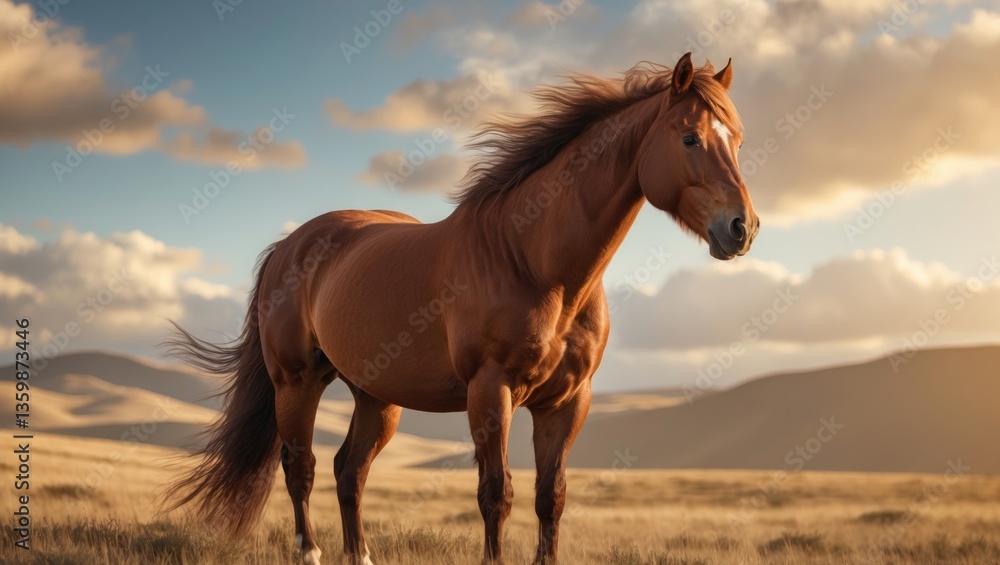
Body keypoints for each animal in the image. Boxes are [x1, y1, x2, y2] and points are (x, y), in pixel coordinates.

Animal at [163, 52, 759, 565]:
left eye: (737, 140)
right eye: (689, 137)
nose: (742, 228)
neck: (535, 262)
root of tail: (289, 246)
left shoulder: (567, 402)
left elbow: (551, 497)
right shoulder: (490, 391)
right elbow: (496, 493)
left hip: (376, 397)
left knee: (349, 471)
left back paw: (360, 554)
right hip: (297, 381)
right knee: (300, 467)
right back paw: (309, 552)